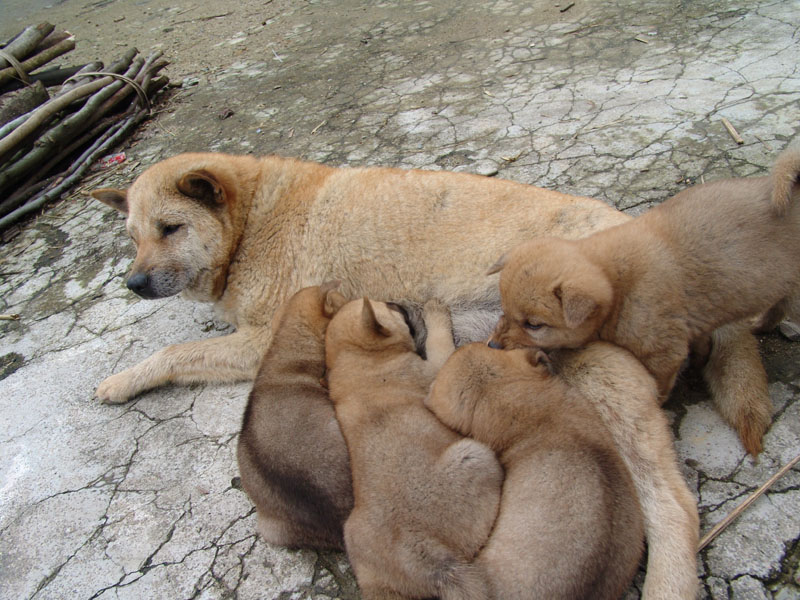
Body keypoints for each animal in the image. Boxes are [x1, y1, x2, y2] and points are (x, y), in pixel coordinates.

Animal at [90, 154, 772, 454]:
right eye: (133, 236)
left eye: (170, 228)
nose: (133, 283)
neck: (253, 220)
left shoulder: (261, 340)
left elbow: (177, 351)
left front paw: (123, 379)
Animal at [488, 146, 800, 454]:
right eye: (504, 310)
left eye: (534, 325)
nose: (492, 345)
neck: (616, 286)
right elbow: (701, 341)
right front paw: (700, 359)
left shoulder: (663, 352)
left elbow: (660, 383)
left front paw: (661, 402)